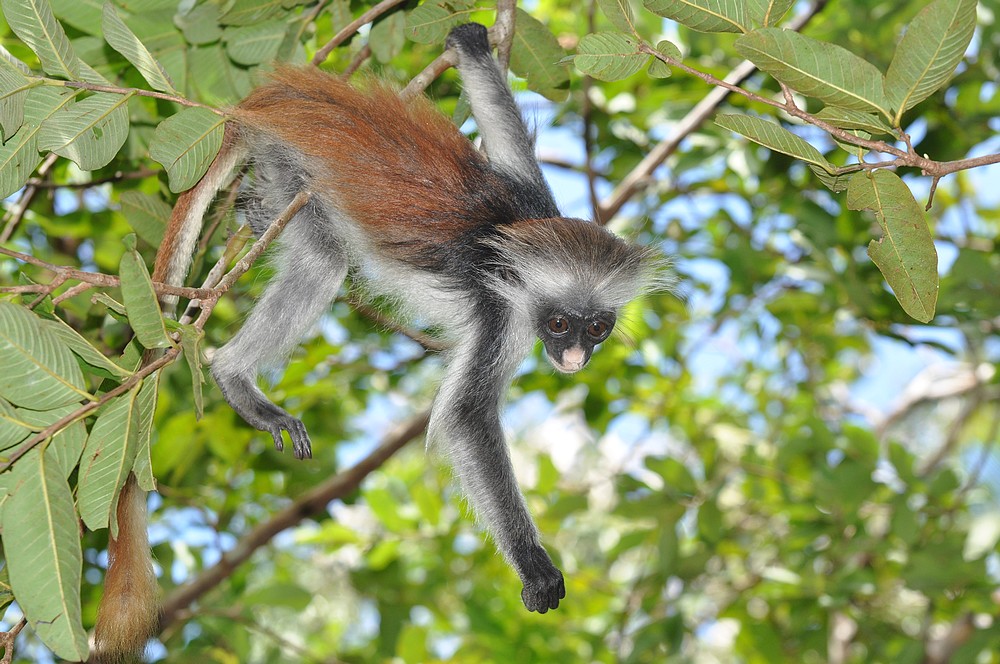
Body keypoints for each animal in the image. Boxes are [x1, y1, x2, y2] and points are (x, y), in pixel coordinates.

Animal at [97, 23, 668, 660]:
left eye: (597, 326)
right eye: (562, 324)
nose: (575, 357)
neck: (511, 256)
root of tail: (274, 102)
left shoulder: (535, 208)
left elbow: (510, 146)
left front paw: (472, 44)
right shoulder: (499, 313)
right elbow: (467, 416)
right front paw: (533, 564)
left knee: (316, 248)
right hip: (292, 165)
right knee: (325, 258)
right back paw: (234, 375)